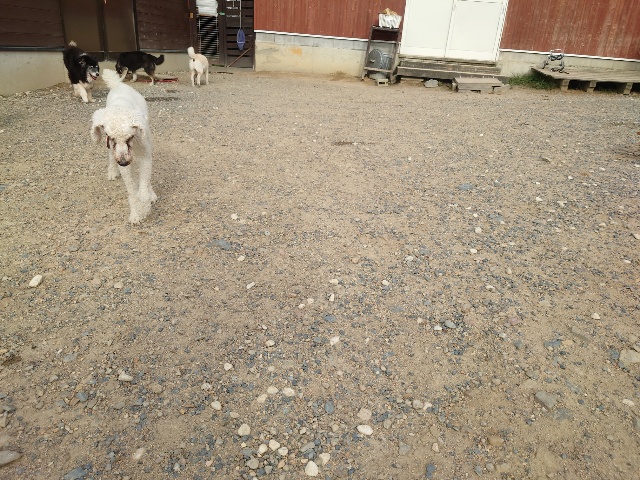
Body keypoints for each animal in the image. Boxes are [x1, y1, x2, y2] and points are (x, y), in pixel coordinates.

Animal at [90, 69, 157, 224]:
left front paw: (146, 203)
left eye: (129, 137)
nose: (123, 162)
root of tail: (118, 85)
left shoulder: (145, 157)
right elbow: (132, 191)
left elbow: (144, 185)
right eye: (111, 137)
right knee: (110, 157)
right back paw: (112, 171)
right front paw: (136, 213)